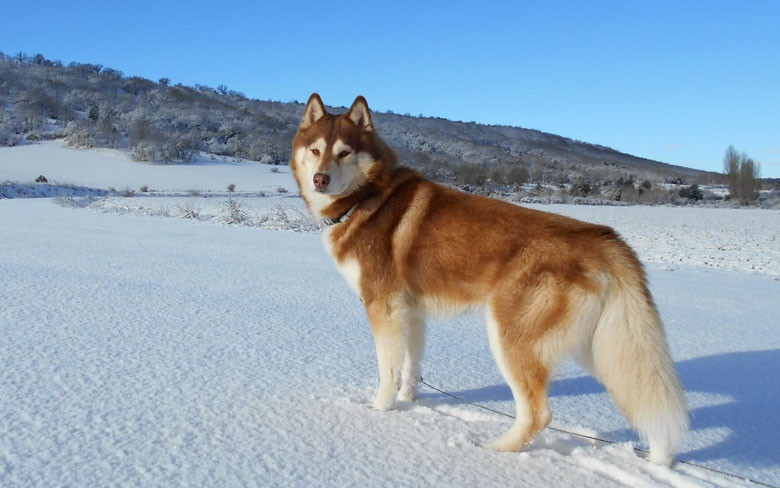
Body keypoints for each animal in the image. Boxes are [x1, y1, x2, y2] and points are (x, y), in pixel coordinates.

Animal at [290, 92, 684, 466]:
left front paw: (378, 412)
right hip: (601, 347)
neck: (367, 196)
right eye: (316, 150)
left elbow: (387, 371)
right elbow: (410, 367)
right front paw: (408, 402)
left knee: (539, 413)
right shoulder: (411, 312)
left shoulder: (382, 308)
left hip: (510, 338)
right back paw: (660, 457)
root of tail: (602, 238)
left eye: (344, 152)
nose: (320, 179)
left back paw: (495, 450)